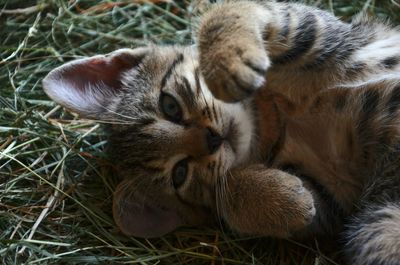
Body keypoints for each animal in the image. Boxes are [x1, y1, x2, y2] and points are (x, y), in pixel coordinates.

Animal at [43, 1, 400, 262]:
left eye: (170, 106)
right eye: (180, 173)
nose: (212, 138)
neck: (275, 116)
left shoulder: (321, 33)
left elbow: (226, 11)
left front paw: (226, 62)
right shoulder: (334, 202)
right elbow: (227, 198)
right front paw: (281, 199)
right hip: (376, 228)